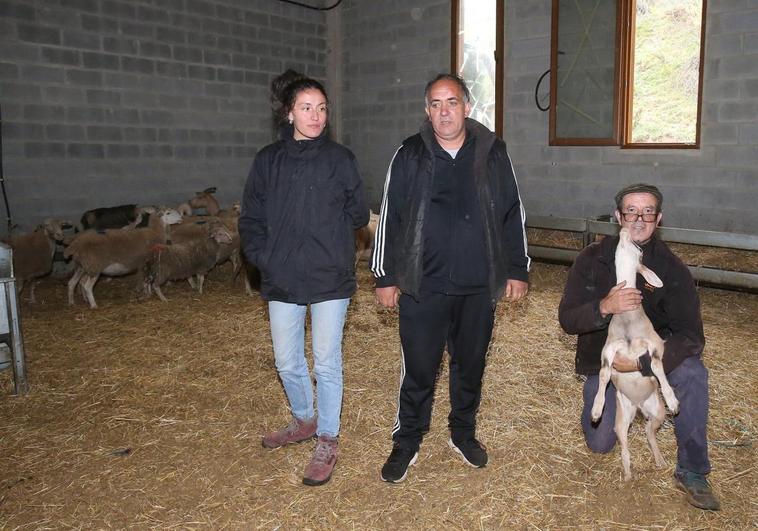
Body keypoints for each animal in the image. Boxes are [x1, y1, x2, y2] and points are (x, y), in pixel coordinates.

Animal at [592, 229, 680, 482]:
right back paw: (628, 473)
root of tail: (640, 406)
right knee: (624, 440)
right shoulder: (609, 348)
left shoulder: (656, 343)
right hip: (622, 416)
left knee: (650, 432)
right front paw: (596, 410)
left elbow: (657, 366)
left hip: (657, 412)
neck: (628, 320)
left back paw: (660, 461)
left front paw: (673, 400)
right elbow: (603, 373)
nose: (625, 230)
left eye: (639, 249)